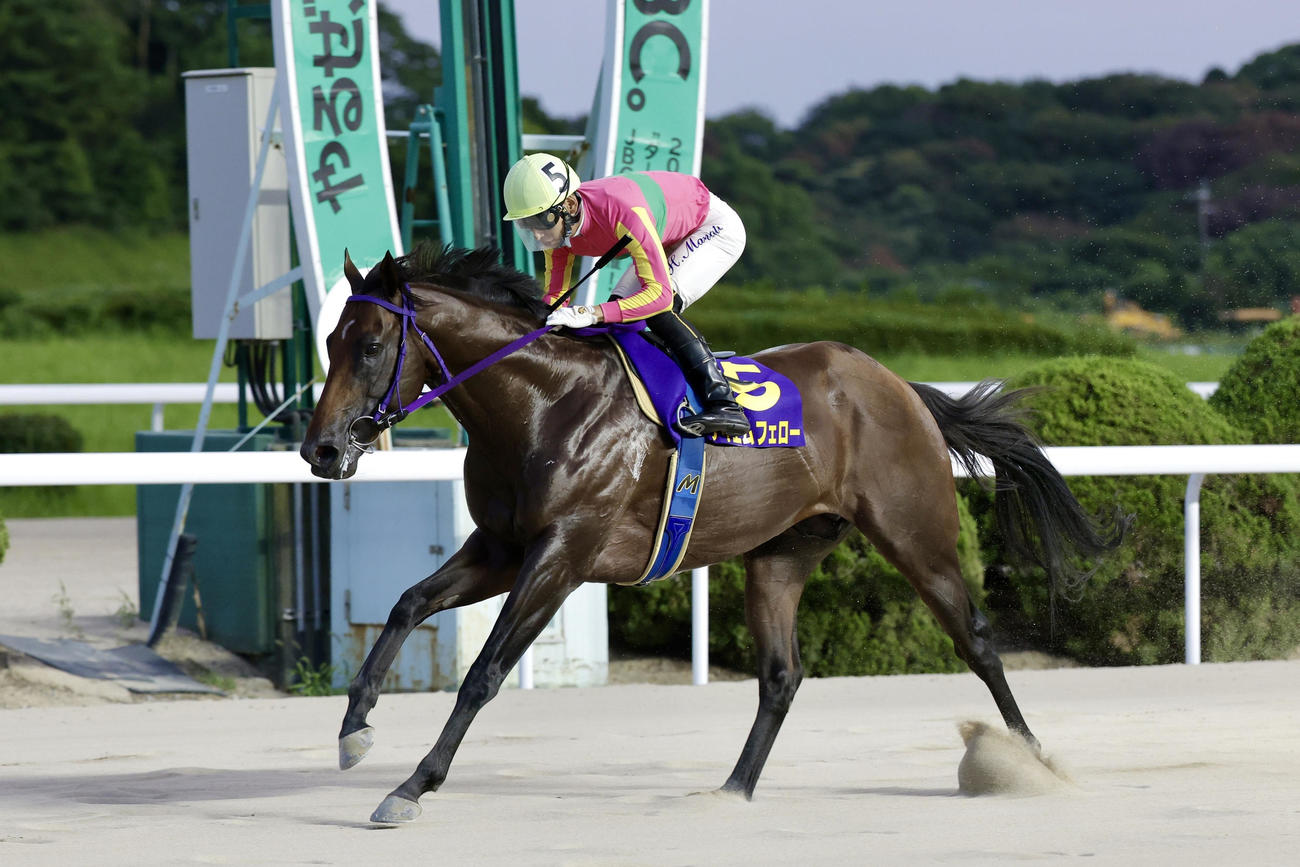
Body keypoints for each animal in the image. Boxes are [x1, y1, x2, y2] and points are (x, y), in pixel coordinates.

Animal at [300, 243, 1123, 824]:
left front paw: (411, 785)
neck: (542, 404)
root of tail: (898, 385)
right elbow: (407, 603)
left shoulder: (562, 555)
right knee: (781, 675)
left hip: (915, 535)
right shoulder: (501, 548)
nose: (321, 449)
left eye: (369, 345)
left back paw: (1032, 763)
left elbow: (484, 672)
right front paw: (353, 727)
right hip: (782, 553)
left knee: (978, 640)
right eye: (331, 340)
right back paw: (732, 789)